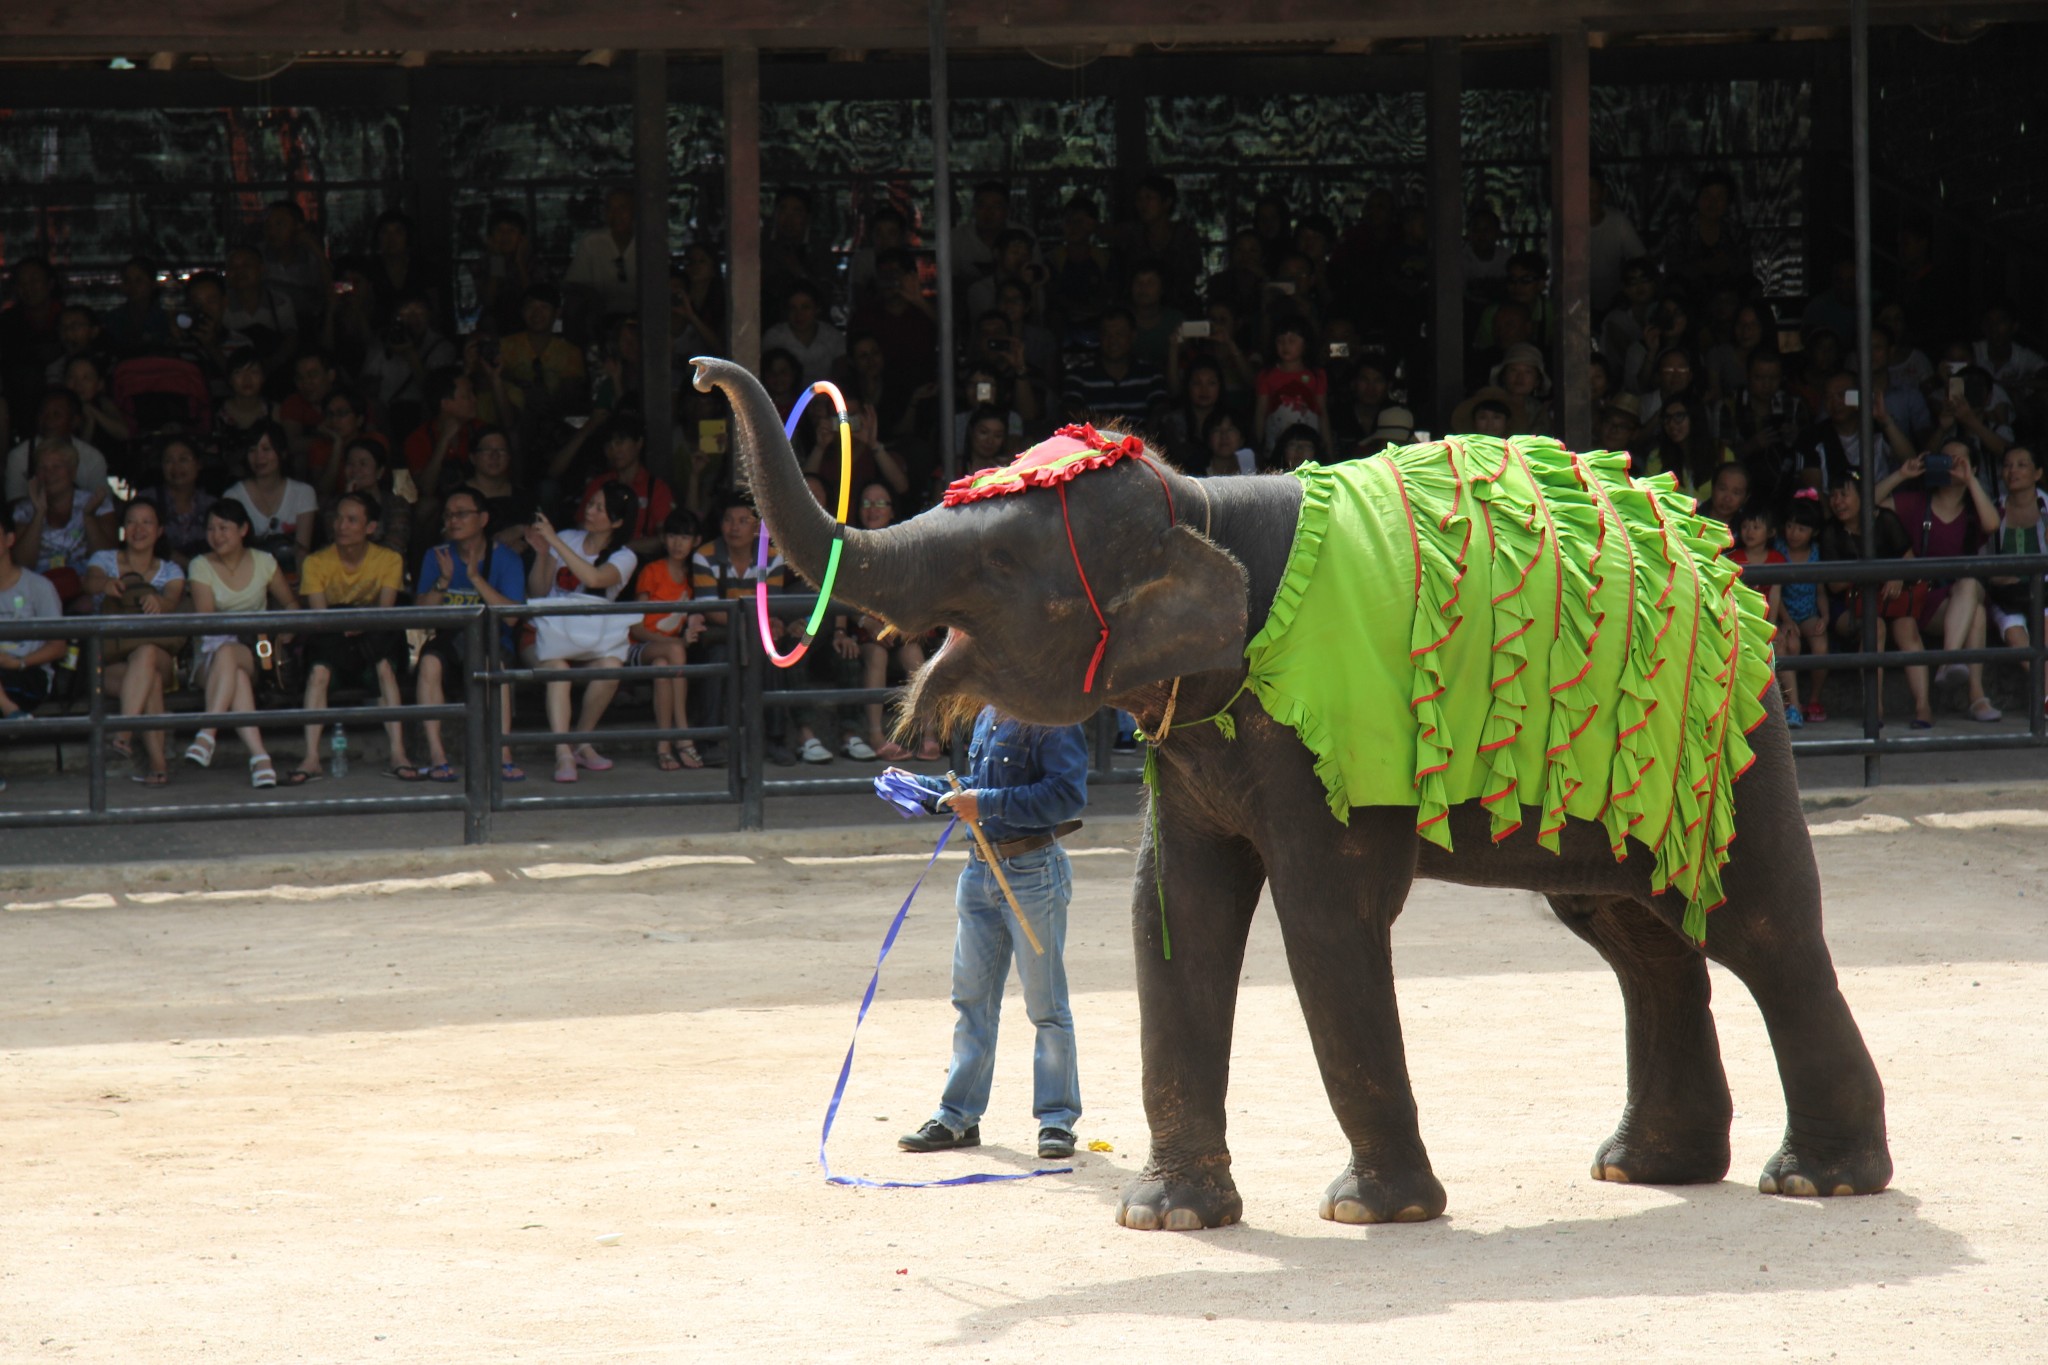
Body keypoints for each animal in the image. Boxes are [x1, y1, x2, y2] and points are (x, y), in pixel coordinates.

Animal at [696, 358, 1892, 1236]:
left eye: (992, 564)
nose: (707, 372)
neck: (1197, 502)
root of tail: (1714, 557)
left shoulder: (1329, 740)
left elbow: (1325, 918)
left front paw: (1369, 1213)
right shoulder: (1193, 735)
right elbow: (1171, 912)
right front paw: (1169, 1219)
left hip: (1736, 734)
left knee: (1761, 927)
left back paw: (1817, 1181)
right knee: (1633, 932)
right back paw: (1647, 1169)